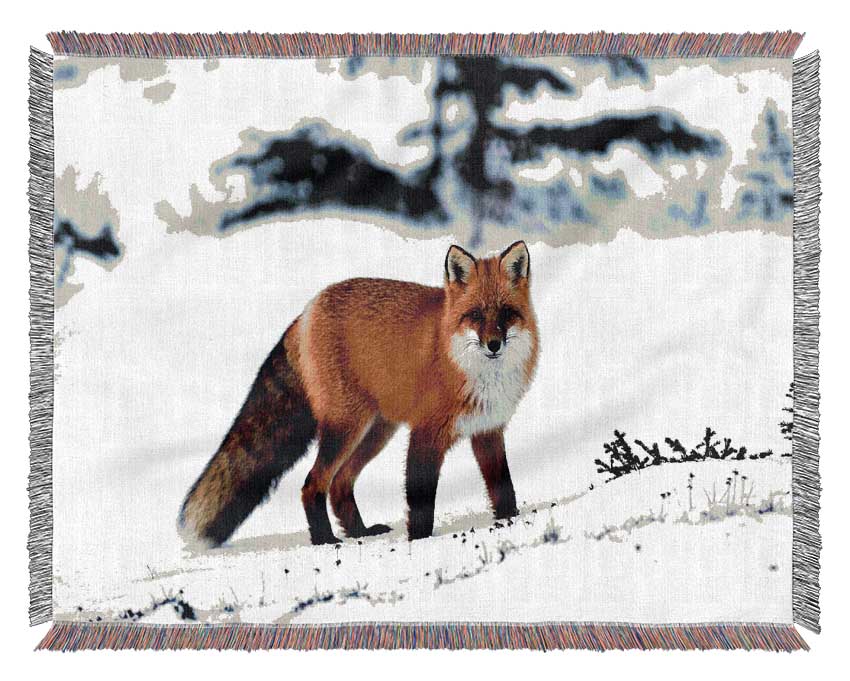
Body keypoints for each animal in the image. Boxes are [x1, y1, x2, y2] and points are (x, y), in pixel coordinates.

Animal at [178, 240, 539, 547]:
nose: (494, 344)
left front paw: (510, 522)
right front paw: (420, 543)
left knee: (340, 484)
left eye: (506, 313)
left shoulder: (487, 430)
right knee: (313, 484)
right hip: (346, 427)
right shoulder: (426, 433)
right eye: (475, 315)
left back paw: (359, 532)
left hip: (376, 431)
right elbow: (421, 504)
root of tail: (307, 309)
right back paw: (325, 541)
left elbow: (504, 489)